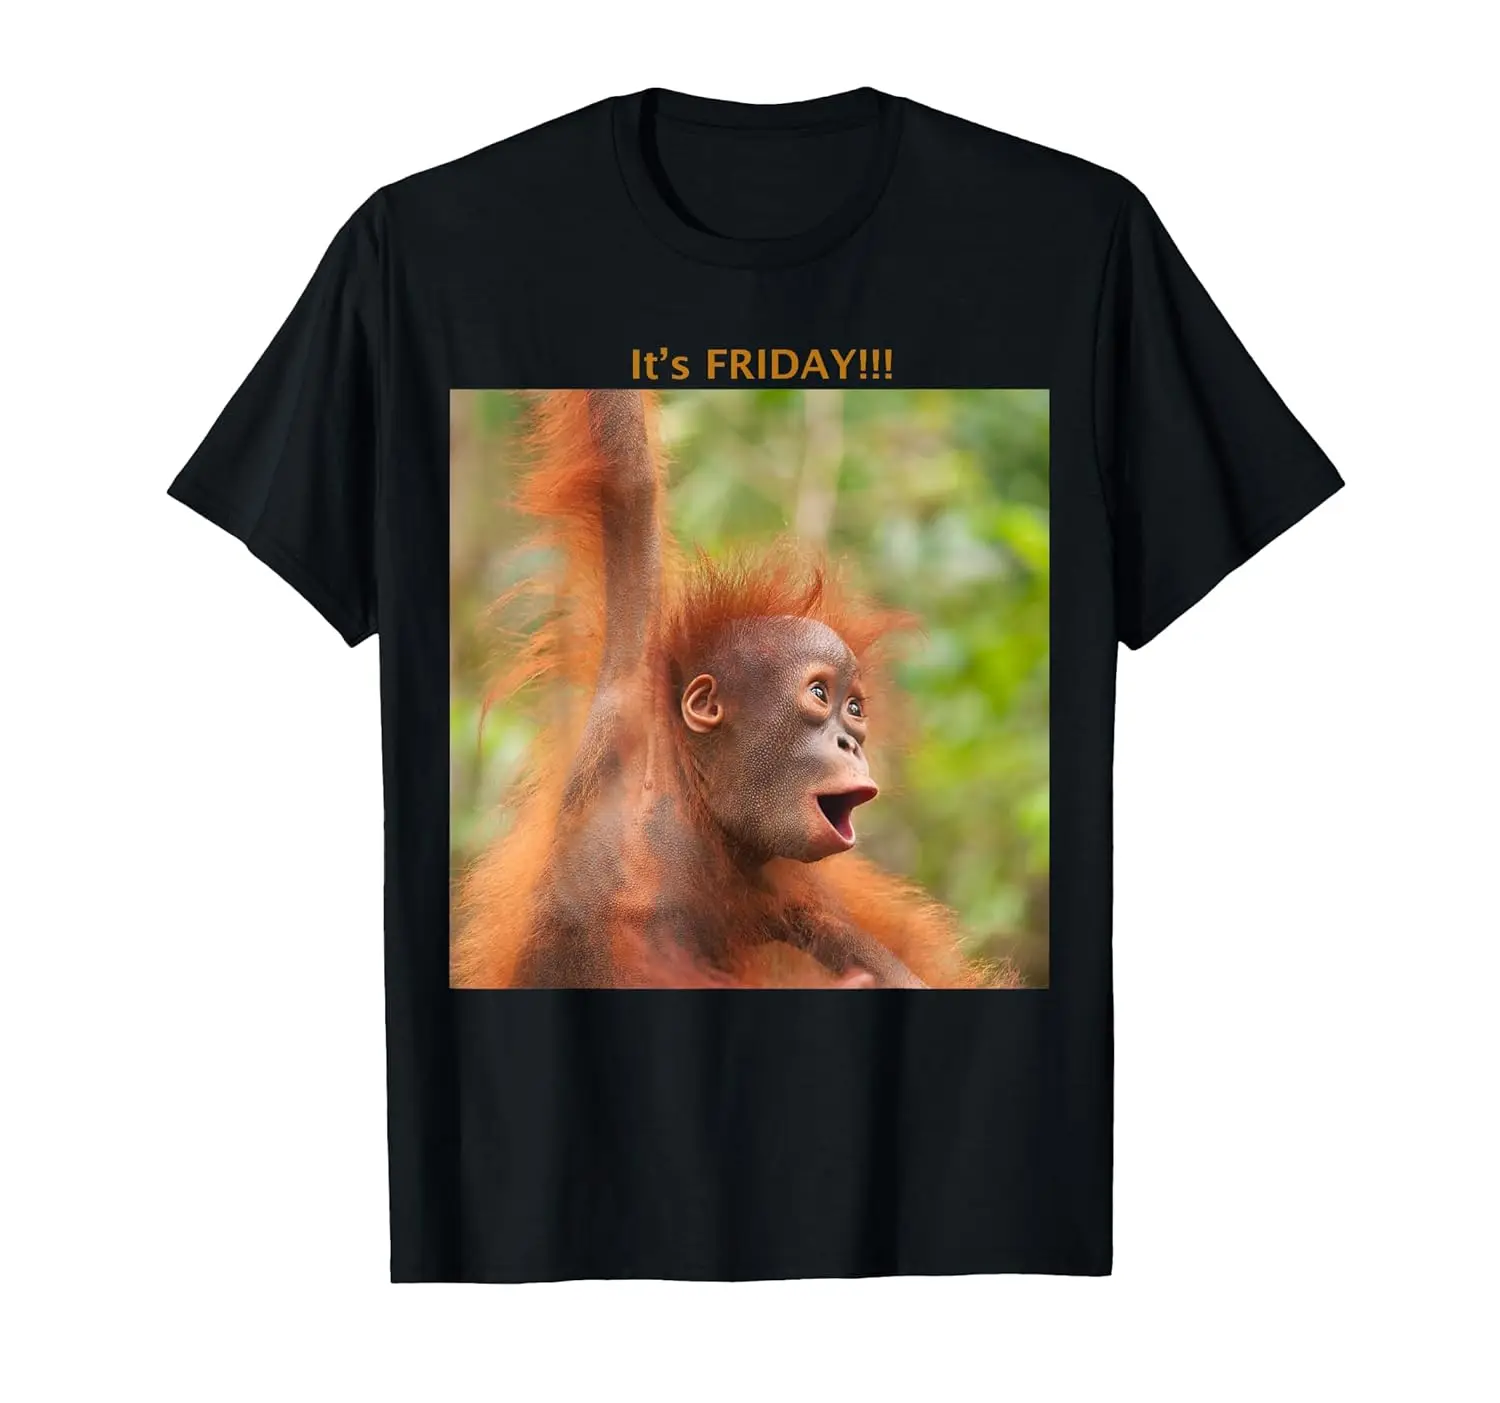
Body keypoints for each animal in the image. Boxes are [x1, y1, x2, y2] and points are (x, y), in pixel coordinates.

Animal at [453, 389, 1004, 989]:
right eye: (820, 696)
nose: (850, 743)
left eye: (855, 709)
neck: (695, 801)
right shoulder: (632, 699)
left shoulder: (781, 892)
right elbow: (628, 478)